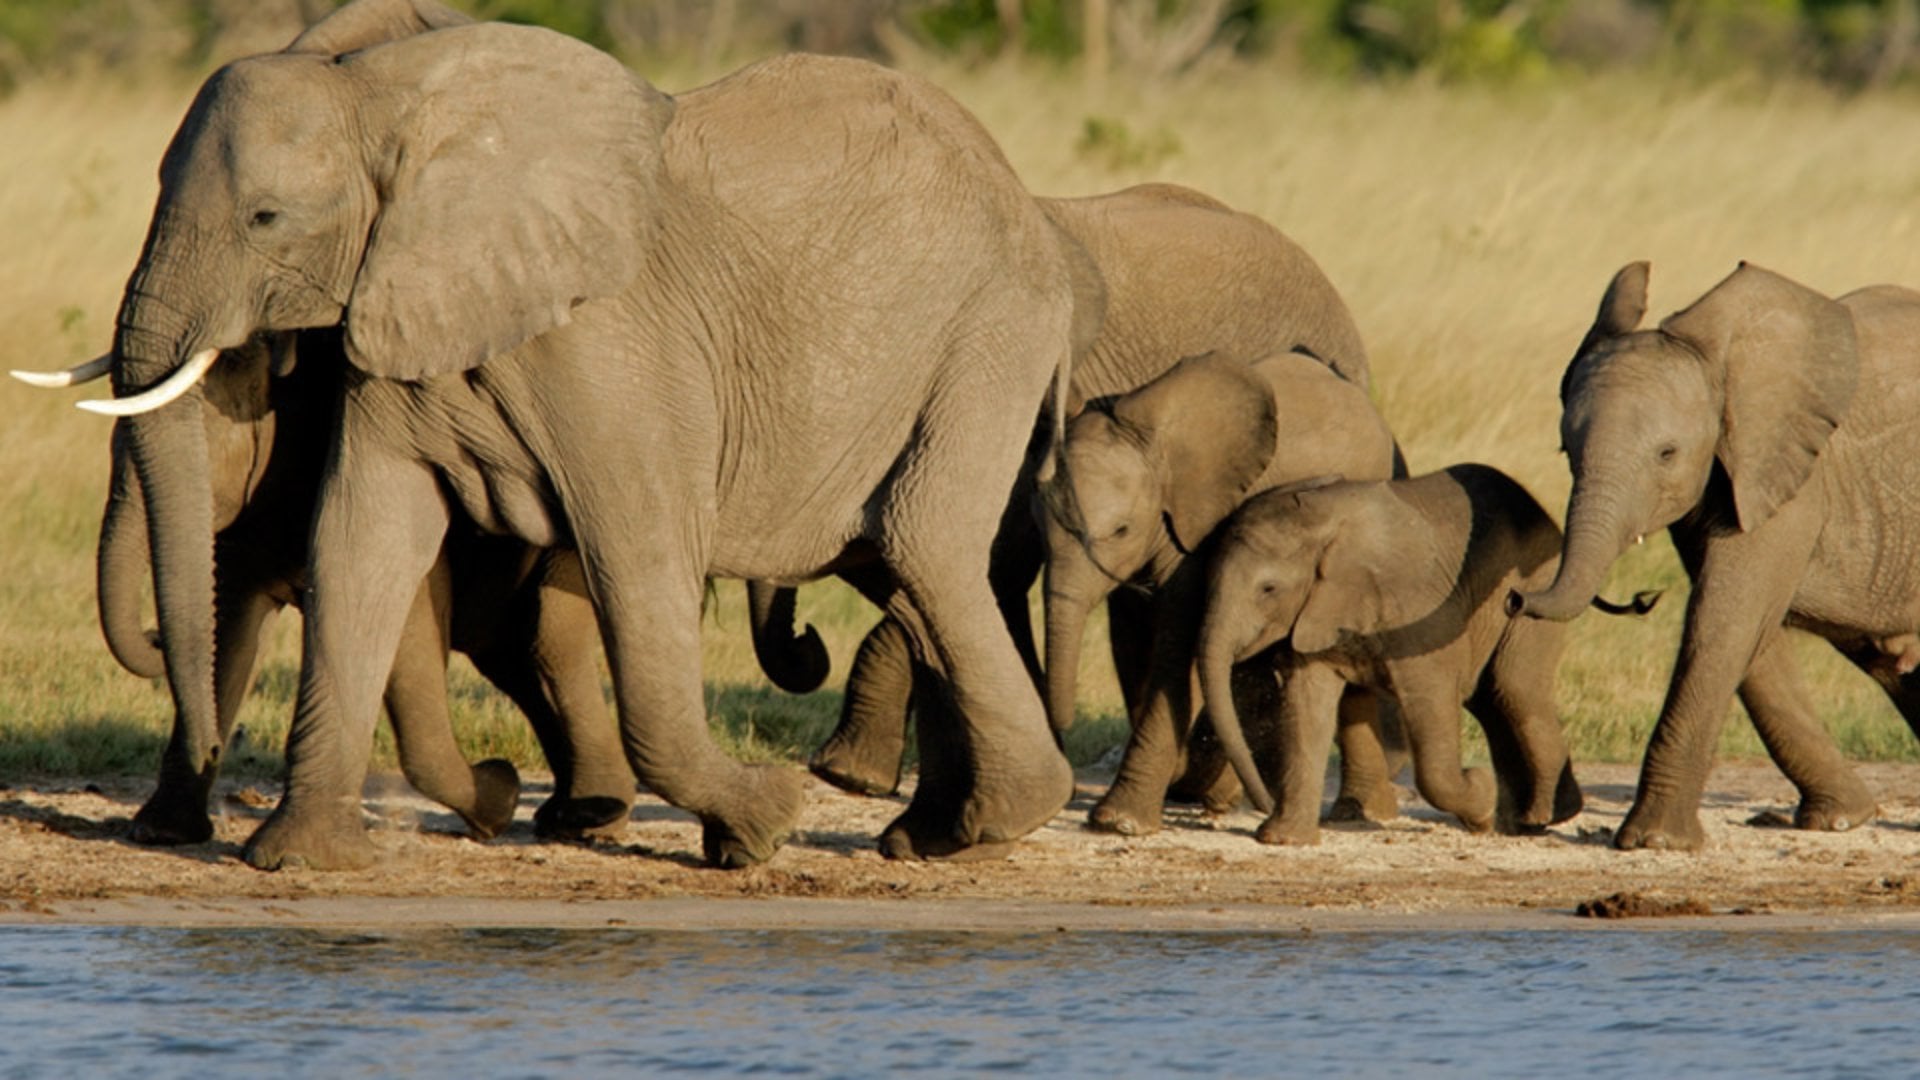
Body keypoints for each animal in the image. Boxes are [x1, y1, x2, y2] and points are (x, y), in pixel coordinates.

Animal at [17, 327, 633, 847]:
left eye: (207, 452)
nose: (151, 635)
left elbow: (407, 629)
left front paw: (499, 798)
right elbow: (230, 629)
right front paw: (160, 833)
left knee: (544, 640)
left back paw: (587, 818)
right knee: (508, 651)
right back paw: (576, 813)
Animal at [1044, 350, 1405, 836]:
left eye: (1120, 530)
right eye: (1038, 522)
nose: (1062, 725)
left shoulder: (1199, 524)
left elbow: (1179, 646)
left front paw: (1119, 821)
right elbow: (1139, 639)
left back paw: (1356, 812)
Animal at [1200, 465, 1587, 845]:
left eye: (1268, 589)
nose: (1261, 805)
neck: (1322, 523)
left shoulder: (1417, 610)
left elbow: (1431, 706)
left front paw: (1481, 799)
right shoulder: (1314, 612)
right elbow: (1306, 705)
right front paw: (1284, 839)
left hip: (1535, 588)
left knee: (1515, 689)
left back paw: (1538, 819)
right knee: (1493, 700)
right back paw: (1523, 820)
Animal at [1512, 261, 1920, 850]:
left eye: (1667, 454)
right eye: (1567, 451)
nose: (1515, 597)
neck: (1724, 368)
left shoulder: (1790, 480)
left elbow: (1724, 622)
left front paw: (1654, 842)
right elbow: (1751, 637)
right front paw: (1840, 819)